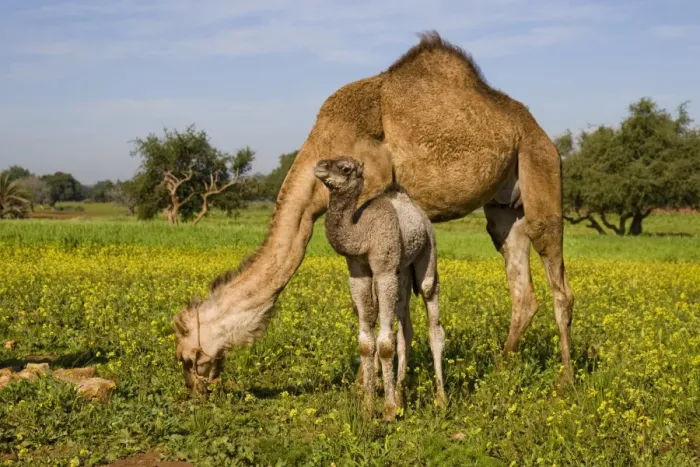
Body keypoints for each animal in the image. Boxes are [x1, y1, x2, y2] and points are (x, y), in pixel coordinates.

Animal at [312, 155, 446, 421]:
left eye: (345, 168)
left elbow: (384, 344)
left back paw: (441, 399)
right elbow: (366, 343)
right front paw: (367, 407)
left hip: (428, 248)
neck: (363, 233)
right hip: (401, 270)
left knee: (431, 308)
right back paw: (401, 392)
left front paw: (389, 410)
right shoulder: (358, 272)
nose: (319, 166)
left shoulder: (384, 272)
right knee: (405, 325)